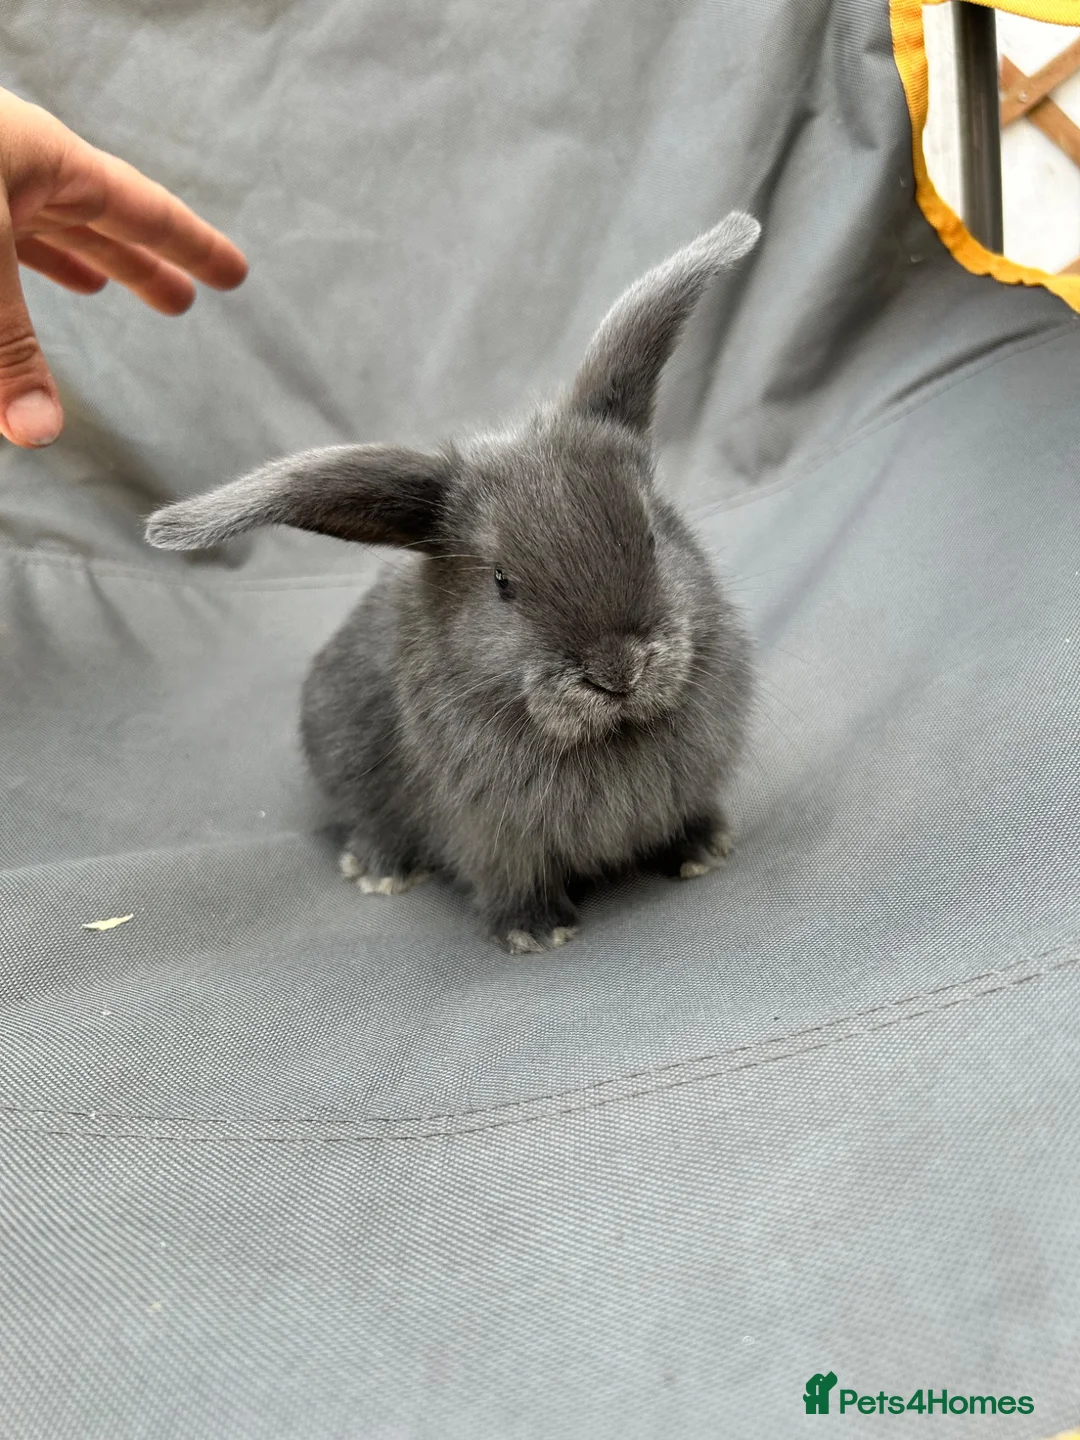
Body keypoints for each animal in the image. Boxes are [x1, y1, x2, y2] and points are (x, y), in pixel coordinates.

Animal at [146, 212, 760, 952]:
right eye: (501, 581)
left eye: (649, 535)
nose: (618, 672)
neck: (610, 736)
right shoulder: (492, 837)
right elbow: (508, 877)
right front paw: (535, 933)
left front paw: (705, 849)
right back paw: (378, 869)